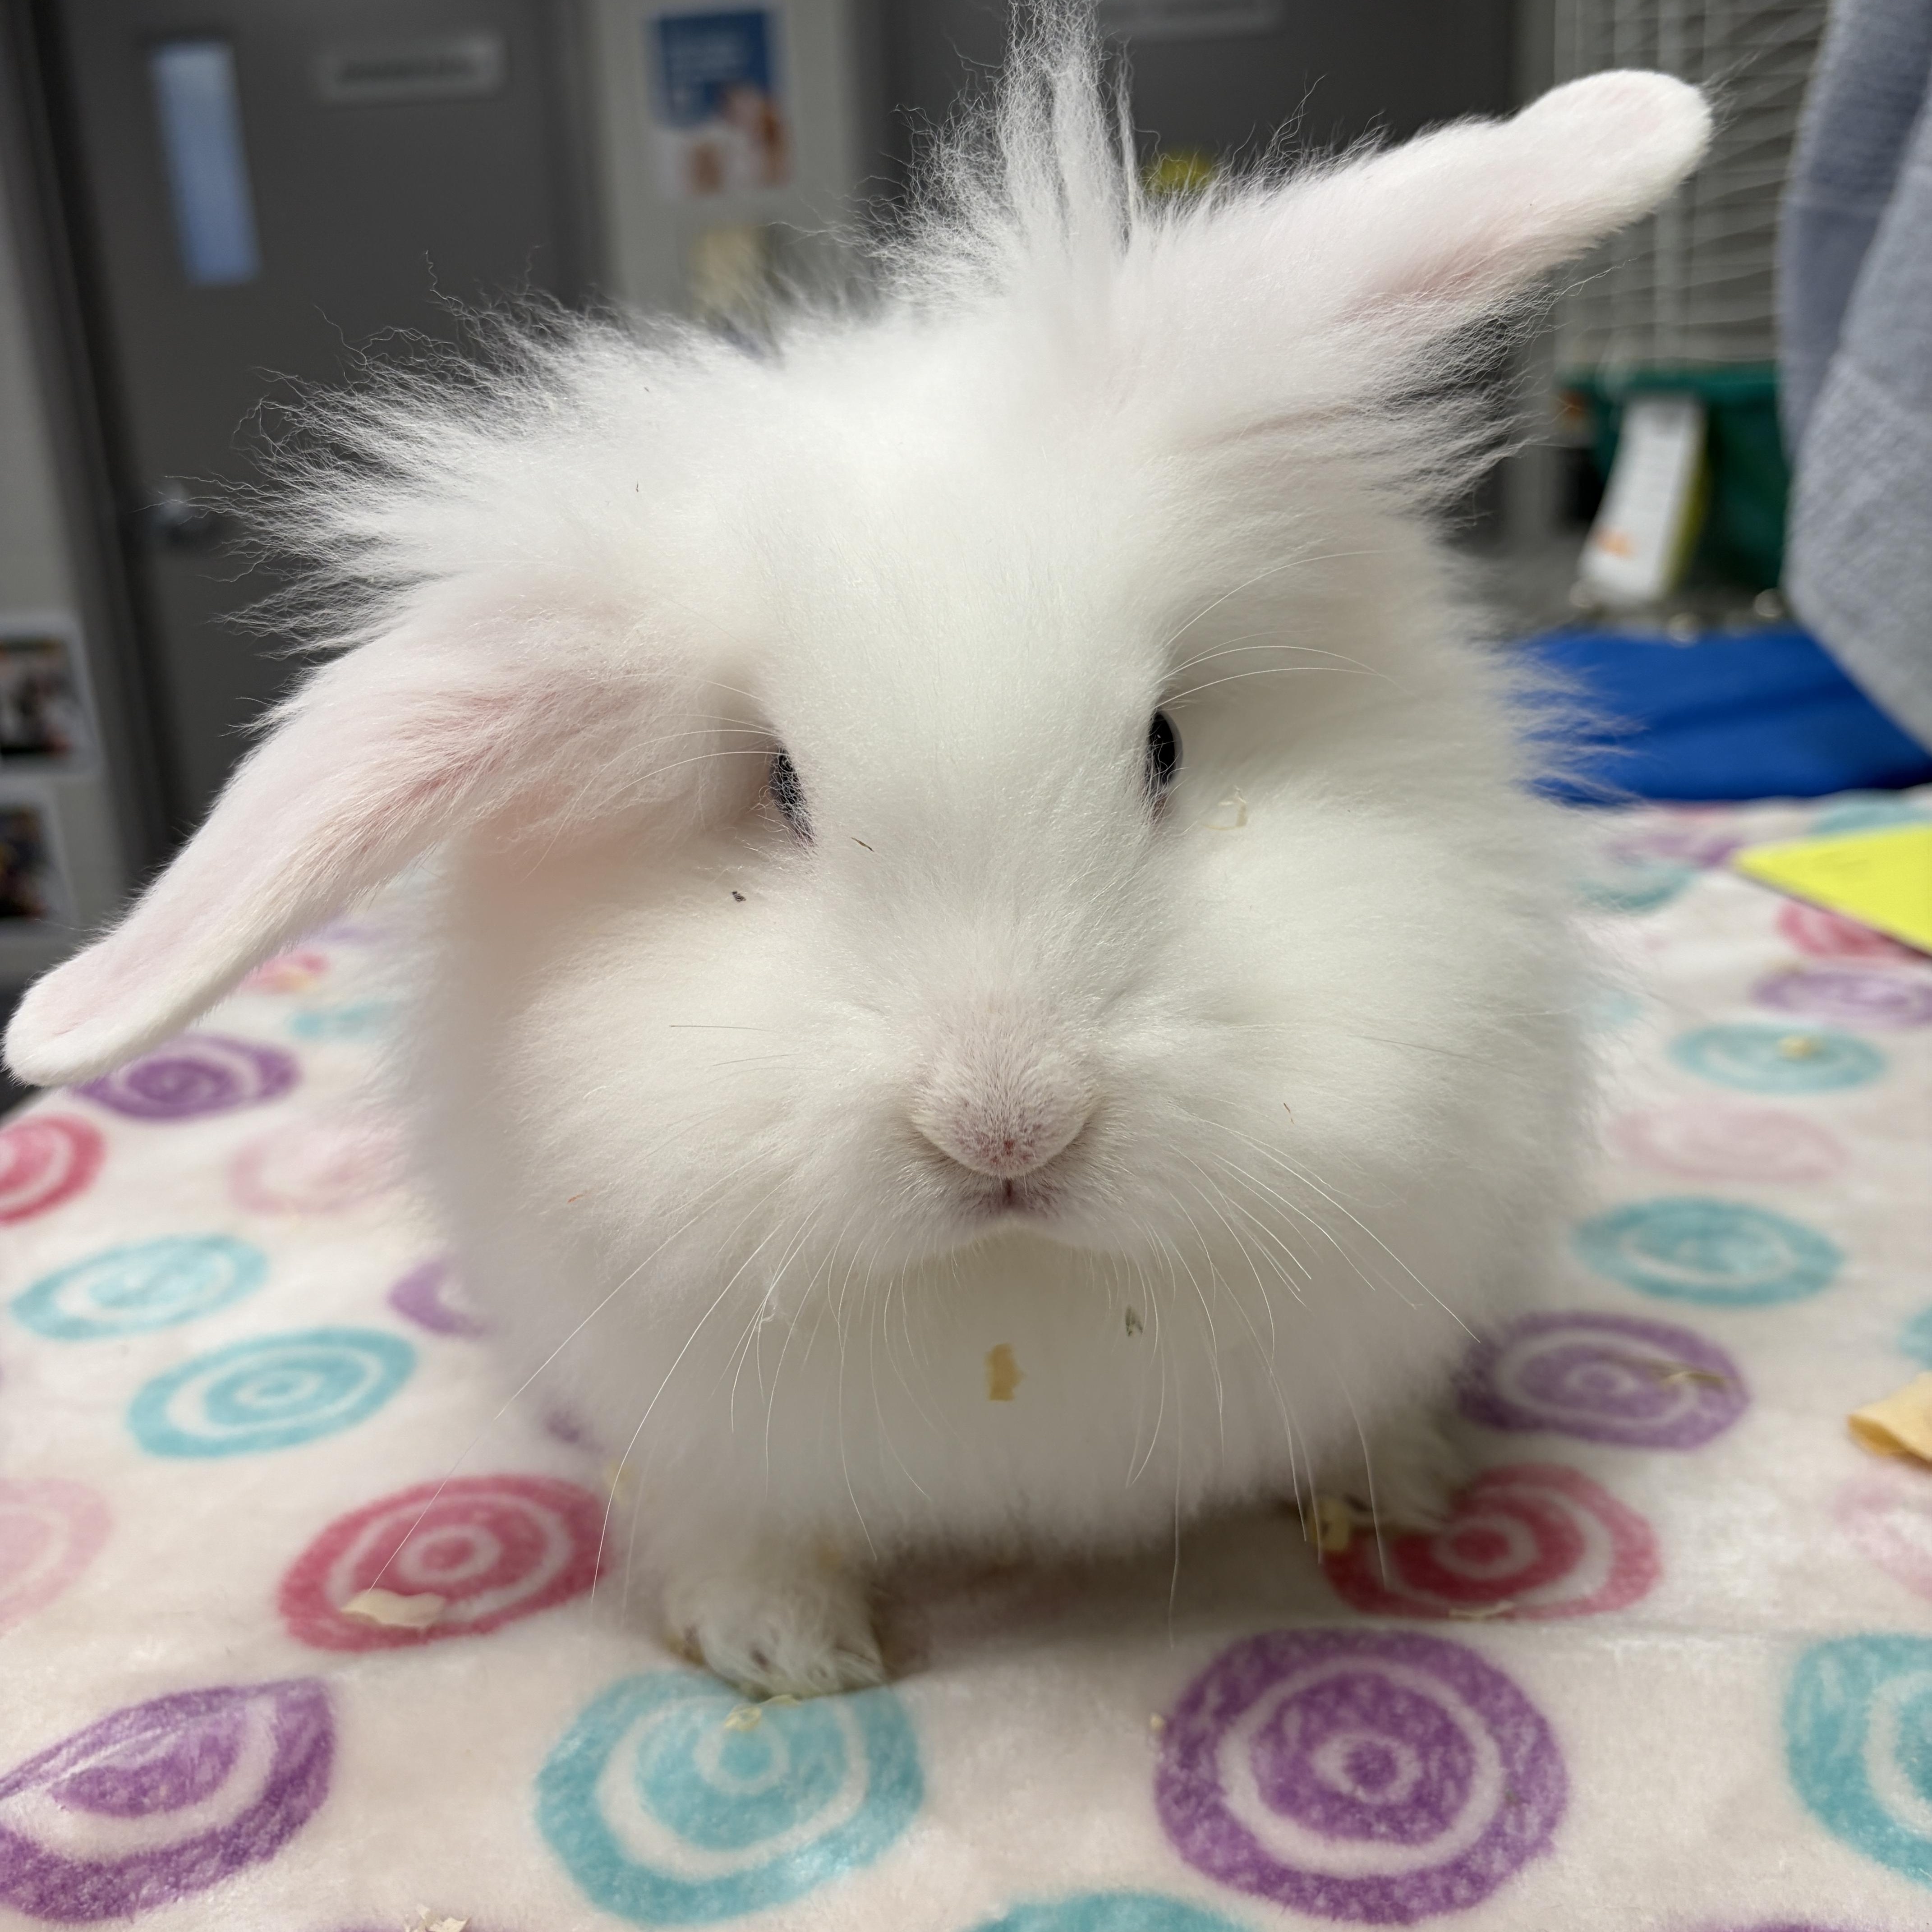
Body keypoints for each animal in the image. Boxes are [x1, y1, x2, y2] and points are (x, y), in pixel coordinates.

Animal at [5, 11, 1710, 1696]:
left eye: (1162, 746)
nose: (1007, 1128)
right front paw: (783, 1652)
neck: (1016, 1305)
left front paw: (1402, 1493)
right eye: (781, 791)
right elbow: (740, 1526)